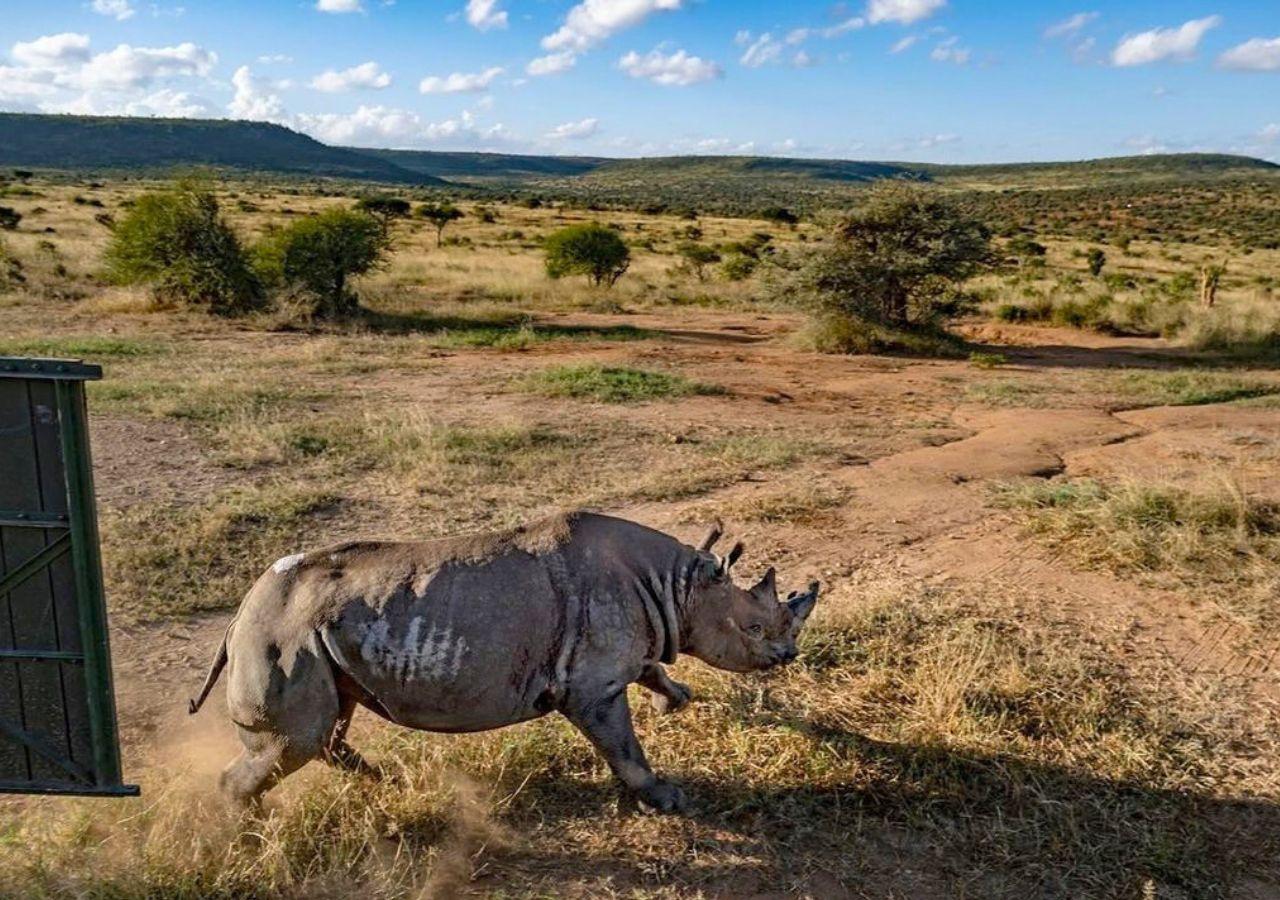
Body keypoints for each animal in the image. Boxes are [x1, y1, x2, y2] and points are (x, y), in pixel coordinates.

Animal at [188, 511, 819, 812]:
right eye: (756, 628)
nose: (788, 655)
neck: (677, 587)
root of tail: (240, 615)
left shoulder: (629, 650)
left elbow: (655, 671)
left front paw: (679, 702)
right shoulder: (591, 689)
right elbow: (624, 747)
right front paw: (666, 799)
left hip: (314, 642)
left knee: (325, 729)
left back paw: (389, 783)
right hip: (282, 637)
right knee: (294, 742)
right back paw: (251, 832)